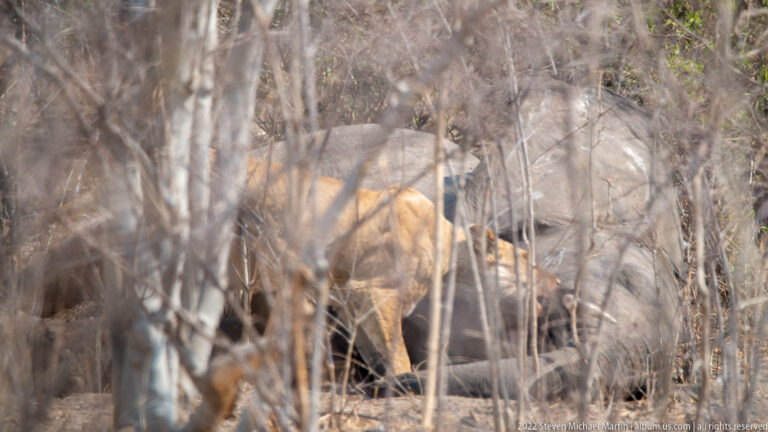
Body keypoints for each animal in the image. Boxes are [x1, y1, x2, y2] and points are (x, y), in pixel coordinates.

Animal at [237, 158, 560, 375]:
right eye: (526, 260)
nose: (558, 282)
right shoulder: (376, 291)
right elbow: (396, 350)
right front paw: (403, 383)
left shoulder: (350, 300)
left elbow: (371, 349)